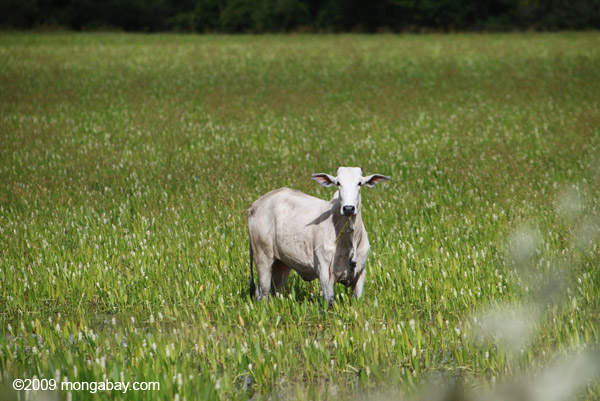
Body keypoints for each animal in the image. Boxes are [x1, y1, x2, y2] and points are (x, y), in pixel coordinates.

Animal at [247, 166, 390, 306]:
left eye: (359, 183)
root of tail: (254, 205)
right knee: (263, 293)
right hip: (263, 257)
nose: (348, 208)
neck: (350, 239)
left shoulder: (360, 274)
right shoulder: (325, 273)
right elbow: (329, 303)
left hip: (281, 263)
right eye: (338, 183)